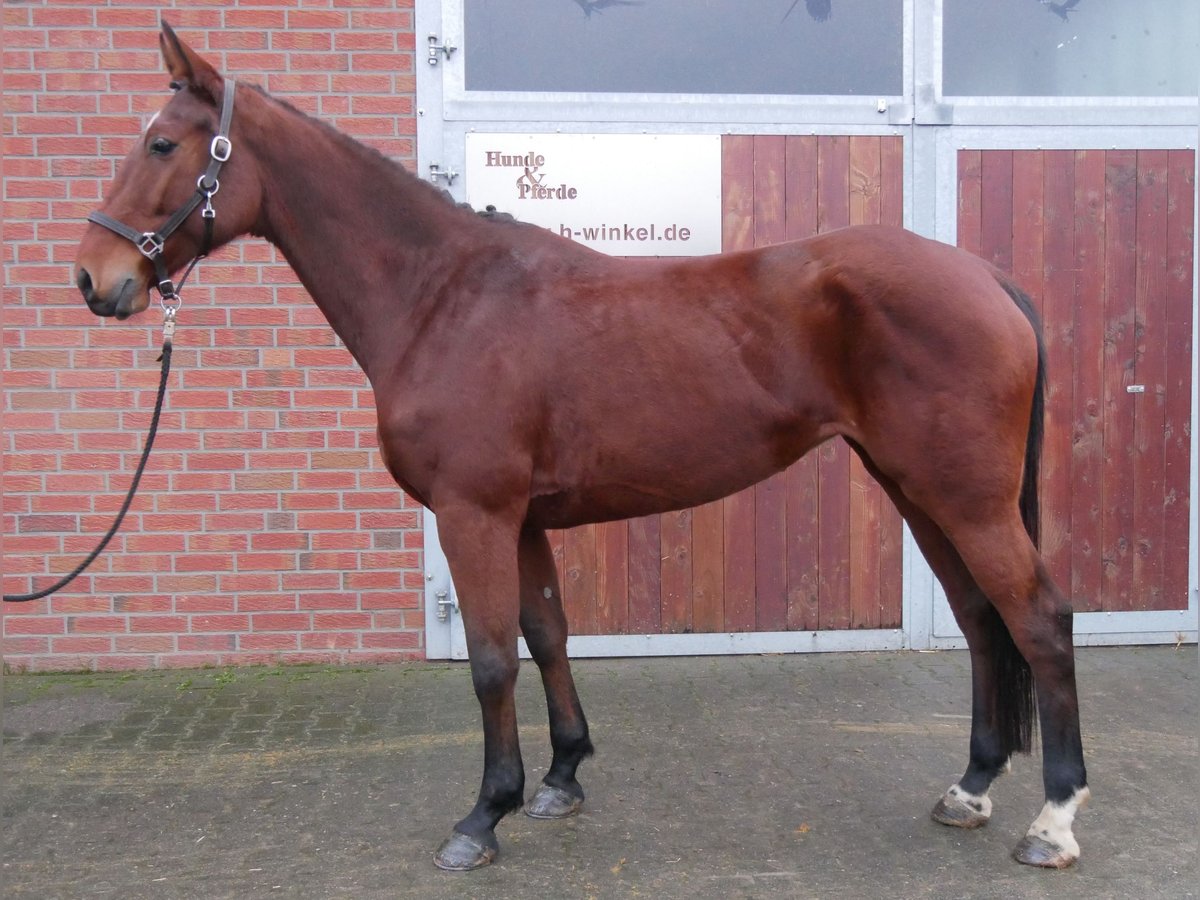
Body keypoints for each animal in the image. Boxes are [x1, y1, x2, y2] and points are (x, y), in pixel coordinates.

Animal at [72, 22, 1089, 873]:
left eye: (163, 144)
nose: (95, 278)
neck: (444, 298)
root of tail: (987, 277)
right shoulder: (521, 519)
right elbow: (548, 633)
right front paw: (560, 779)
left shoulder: (473, 514)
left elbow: (490, 658)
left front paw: (482, 816)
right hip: (919, 489)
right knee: (980, 620)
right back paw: (970, 789)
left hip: (964, 497)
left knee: (1039, 619)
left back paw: (1054, 820)